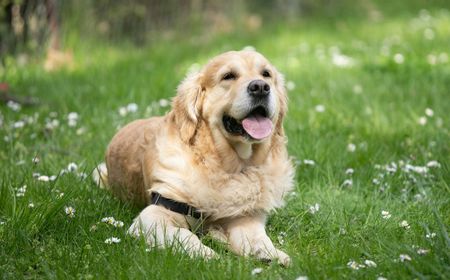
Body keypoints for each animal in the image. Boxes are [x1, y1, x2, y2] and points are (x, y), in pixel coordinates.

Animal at [93, 50, 294, 266]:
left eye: (266, 74)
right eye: (228, 76)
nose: (260, 87)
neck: (228, 167)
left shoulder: (244, 216)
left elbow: (256, 236)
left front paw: (270, 253)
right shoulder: (153, 215)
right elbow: (183, 235)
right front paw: (208, 255)